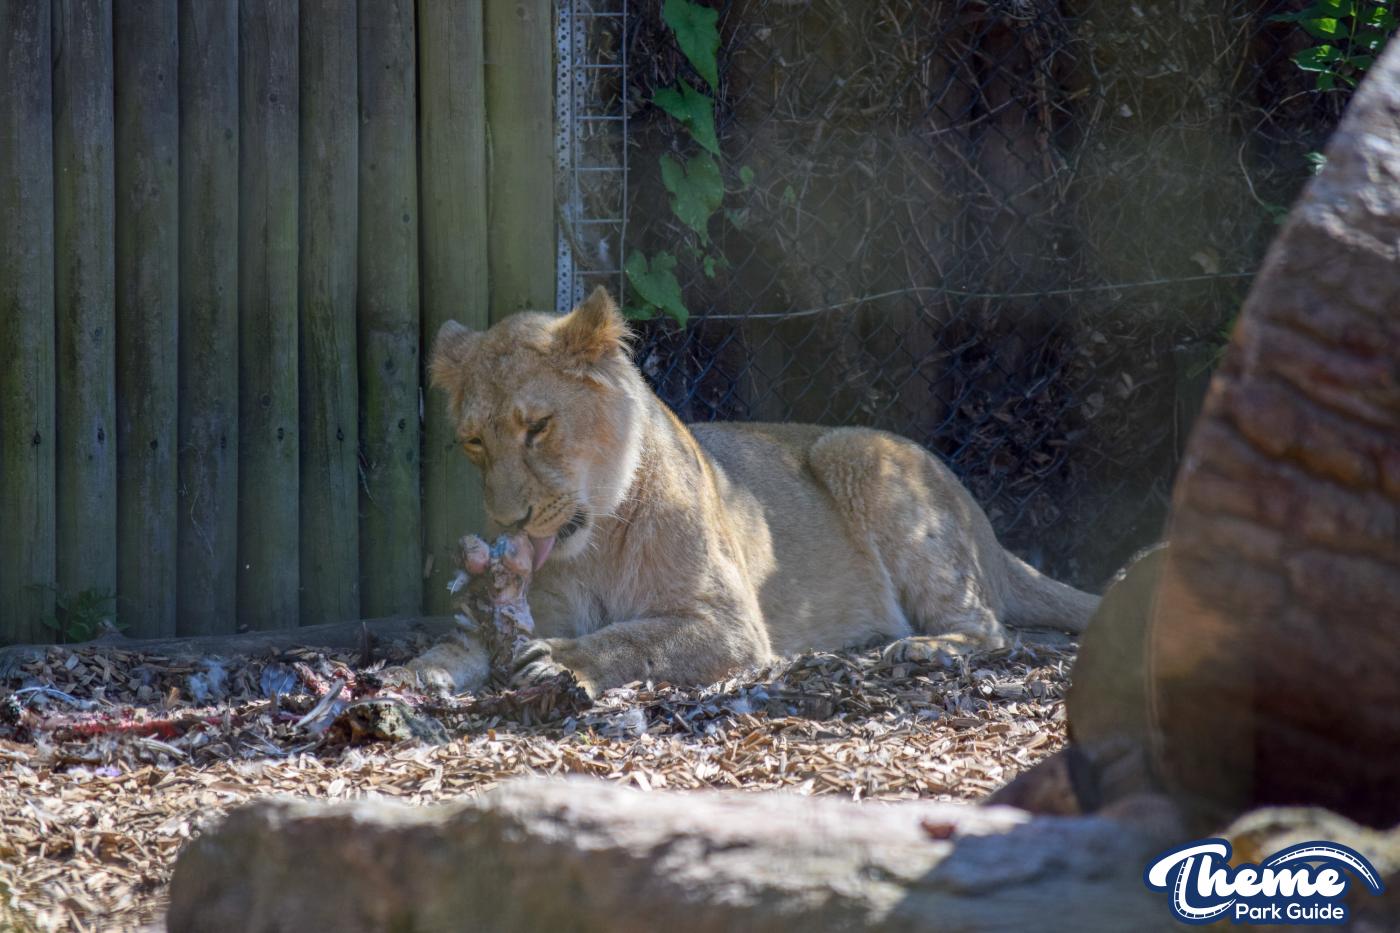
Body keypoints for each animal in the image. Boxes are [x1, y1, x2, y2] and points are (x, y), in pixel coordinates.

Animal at [416, 287, 1098, 697]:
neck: (596, 543)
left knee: (994, 630)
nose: (509, 521)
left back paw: (923, 649)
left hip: (858, 454)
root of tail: (986, 530)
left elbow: (630, 639)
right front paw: (414, 675)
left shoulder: (731, 624)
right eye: (473, 441)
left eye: (538, 427)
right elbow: (458, 645)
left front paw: (558, 660)